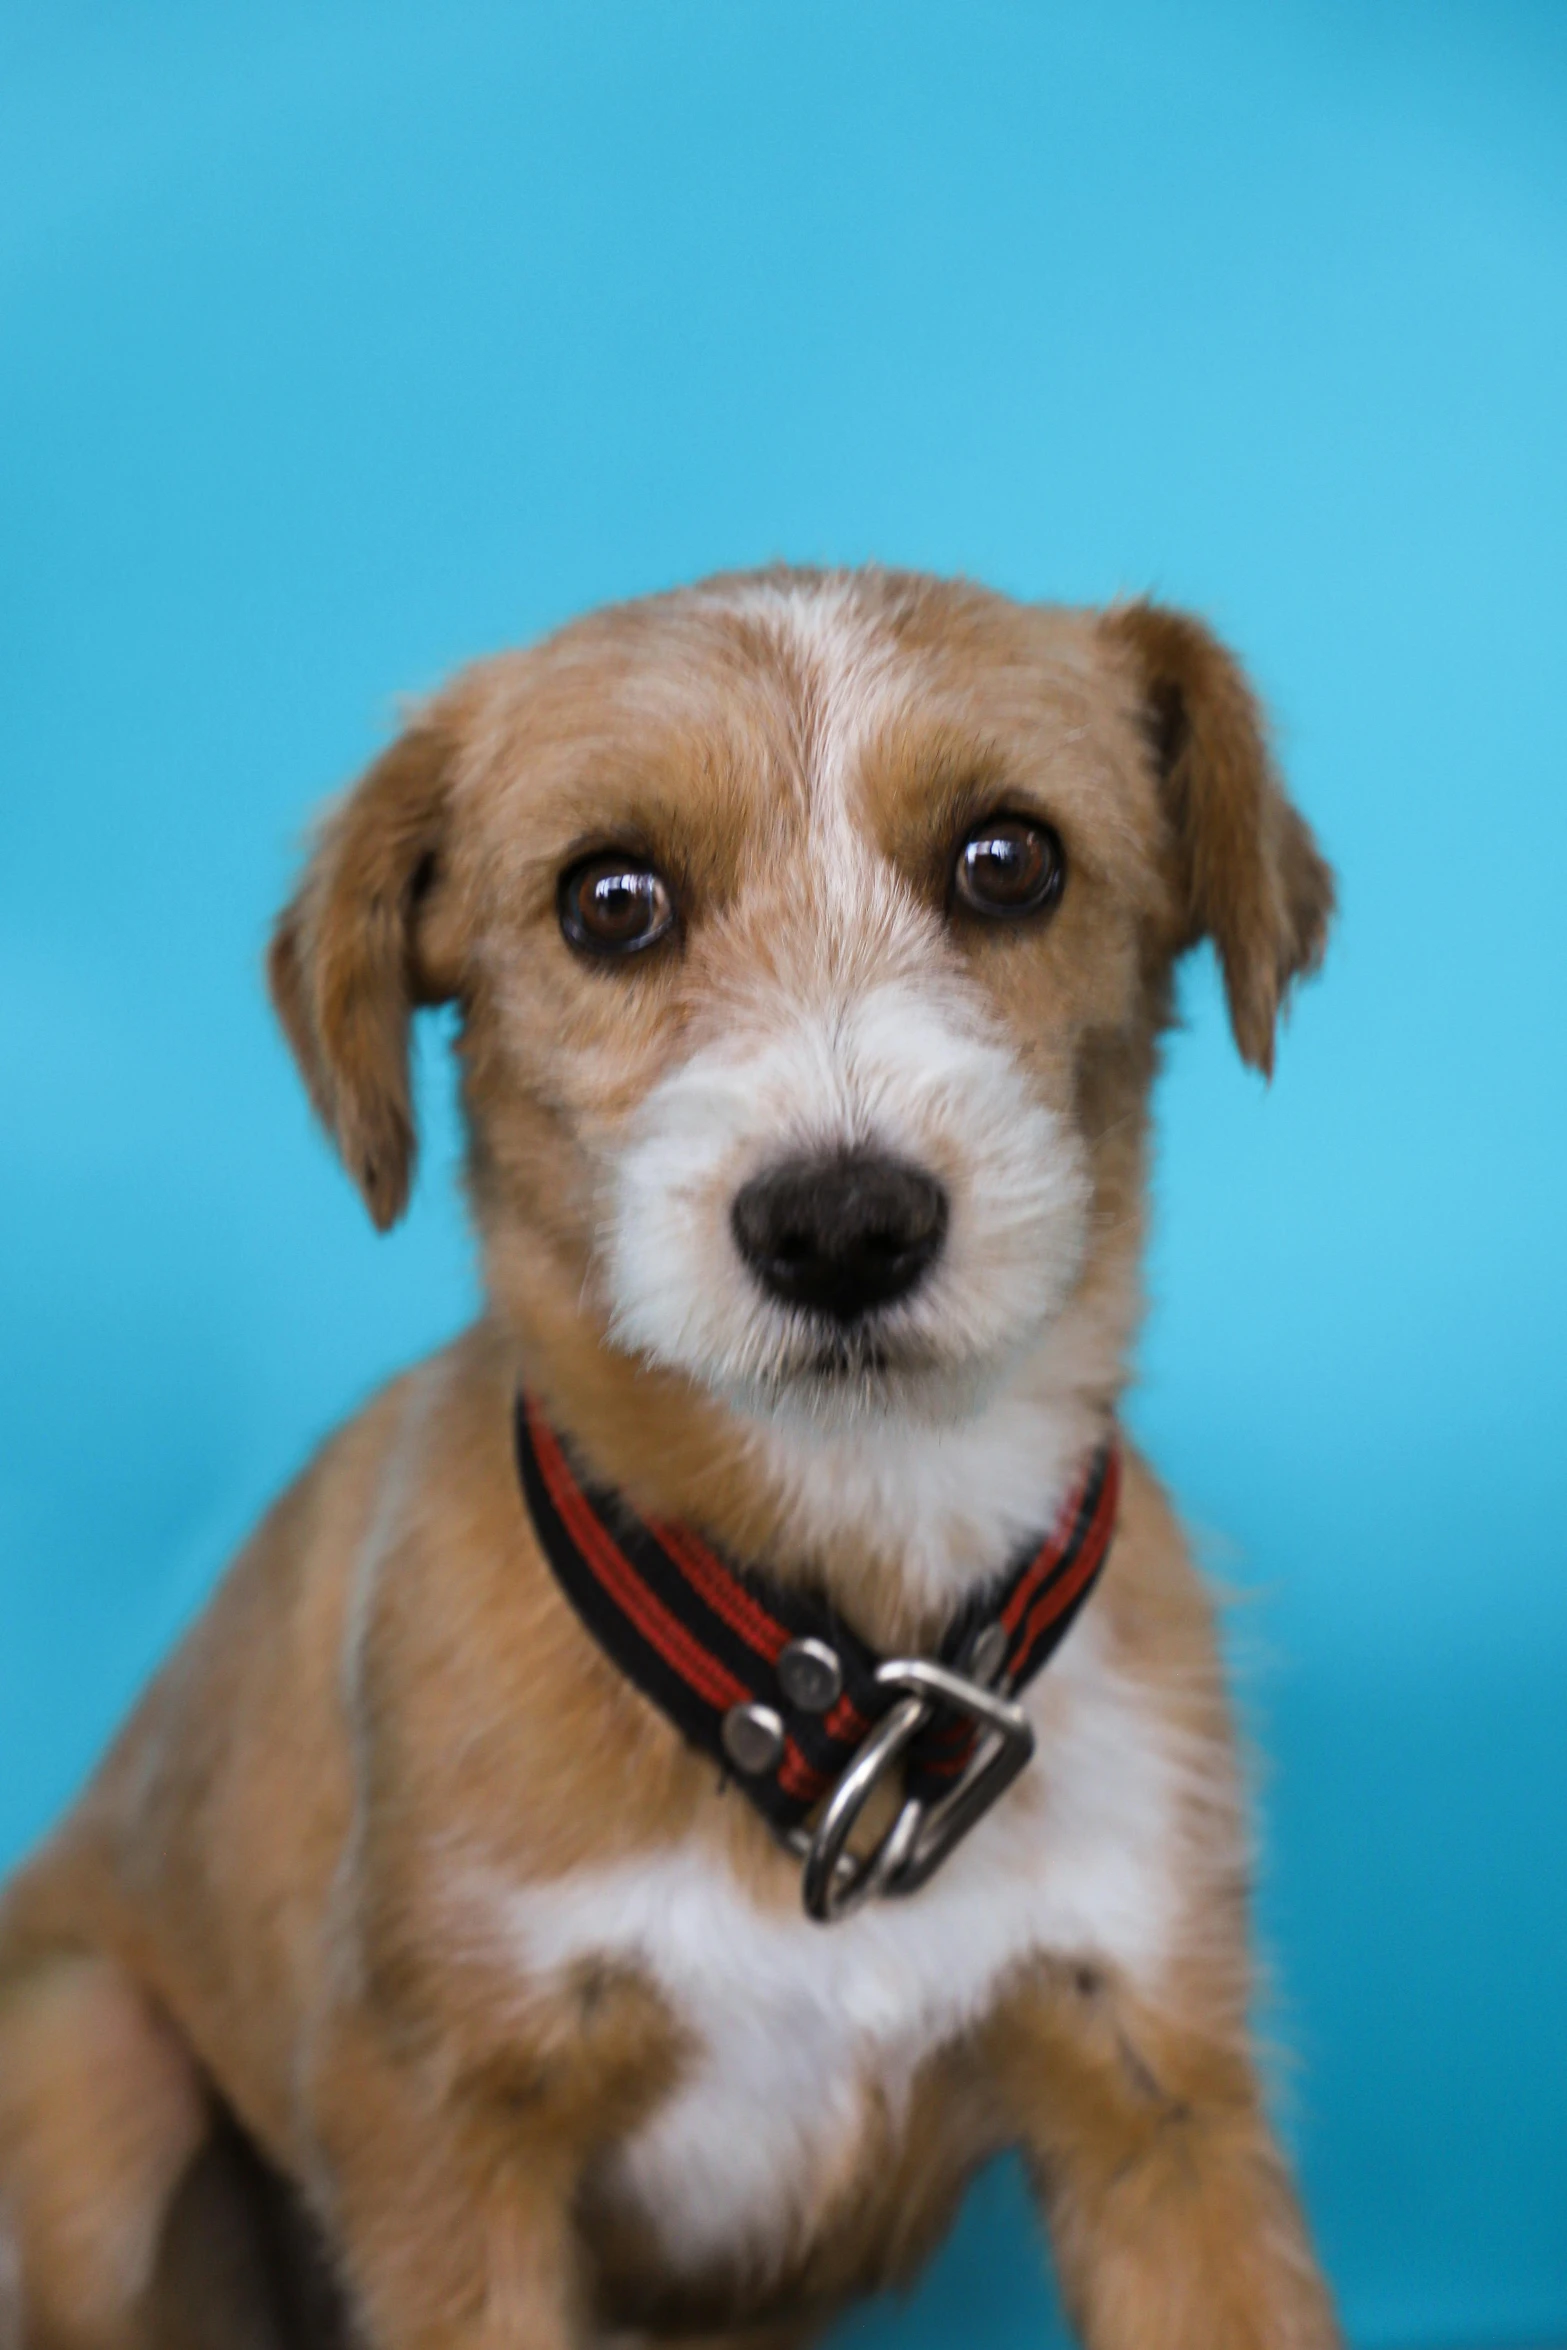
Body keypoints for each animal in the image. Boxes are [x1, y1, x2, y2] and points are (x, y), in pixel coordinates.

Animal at [0, 568, 1343, 2350]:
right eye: (610, 899)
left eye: (1009, 859)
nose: (839, 1223)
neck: (837, 1665)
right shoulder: (445, 2127)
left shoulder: (1156, 2090)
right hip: (89, 2064)